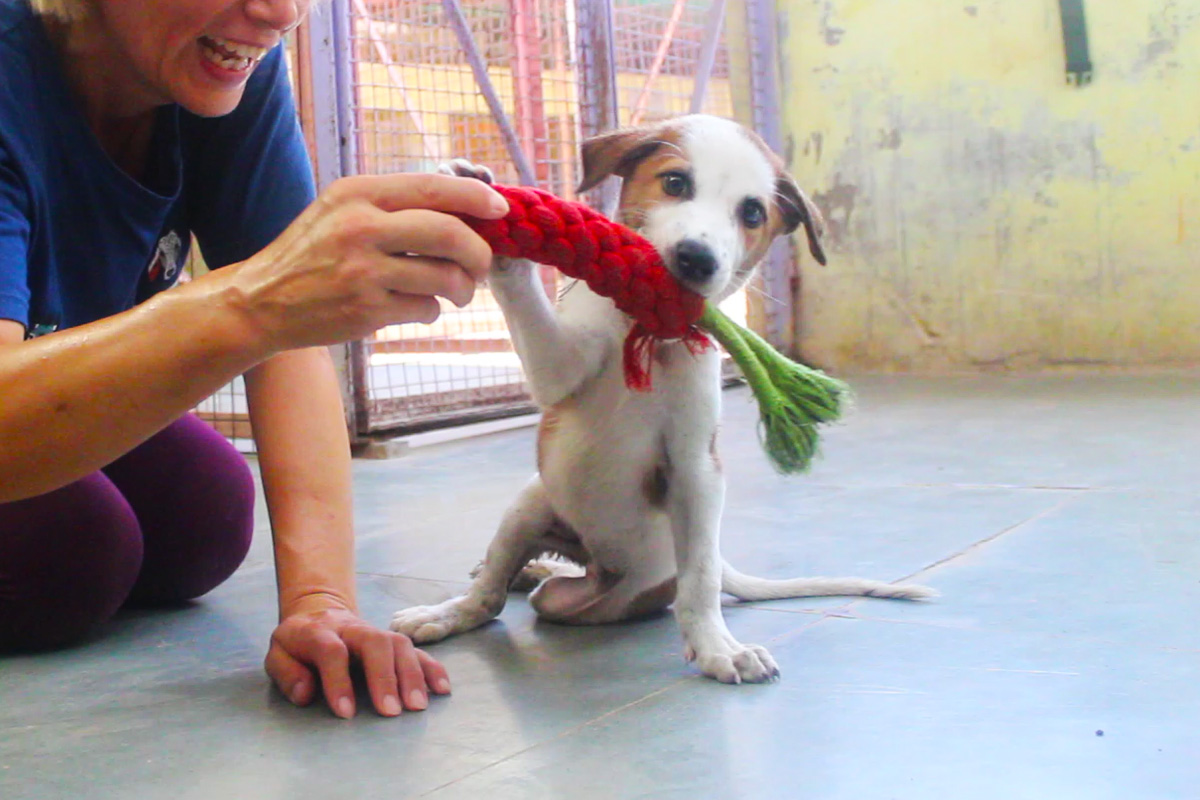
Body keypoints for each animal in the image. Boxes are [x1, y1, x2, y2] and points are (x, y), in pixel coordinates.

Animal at [388, 115, 931, 686]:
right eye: (674, 182)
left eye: (752, 213)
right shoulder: (558, 368)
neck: (644, 330)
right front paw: (499, 223)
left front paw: (717, 646)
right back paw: (457, 607)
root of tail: (595, 562)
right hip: (531, 502)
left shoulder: (696, 468)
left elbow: (701, 577)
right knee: (489, 593)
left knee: (556, 594)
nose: (696, 259)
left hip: (587, 598)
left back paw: (536, 574)